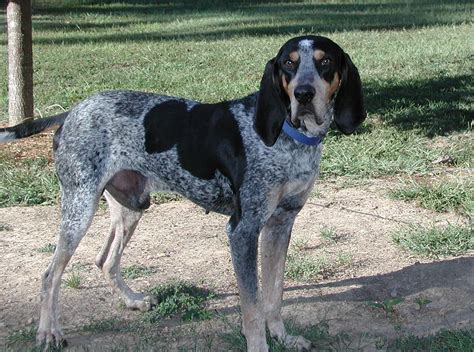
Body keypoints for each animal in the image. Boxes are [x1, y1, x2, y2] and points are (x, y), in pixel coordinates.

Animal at [0, 35, 364, 350]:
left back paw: (133, 301)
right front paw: (260, 345)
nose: (303, 94)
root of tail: (72, 111)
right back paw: (49, 333)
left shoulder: (281, 224)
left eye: (325, 61)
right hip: (79, 208)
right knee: (50, 275)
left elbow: (274, 295)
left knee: (105, 261)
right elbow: (252, 307)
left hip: (130, 208)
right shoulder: (242, 231)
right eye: (289, 64)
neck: (291, 138)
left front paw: (283, 338)